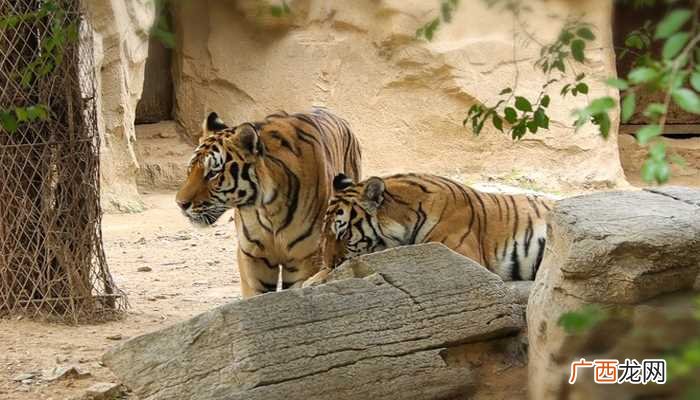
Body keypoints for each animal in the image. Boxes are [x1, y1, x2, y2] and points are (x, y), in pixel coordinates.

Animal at [175, 108, 362, 298]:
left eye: (213, 173)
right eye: (190, 170)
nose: (180, 203)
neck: (268, 208)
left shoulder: (304, 258)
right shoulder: (253, 258)